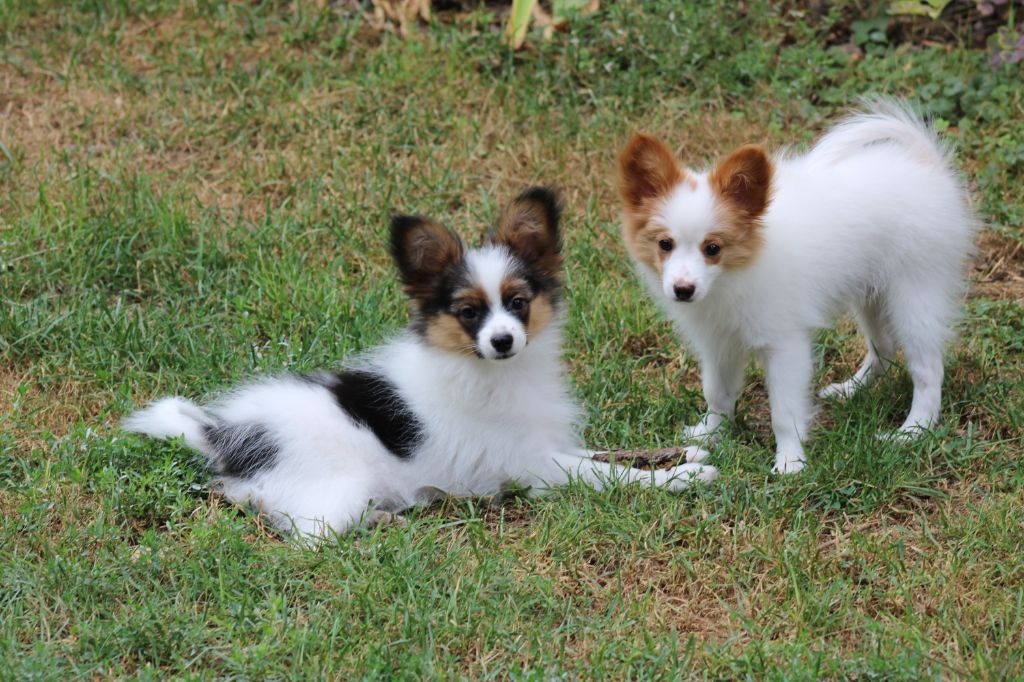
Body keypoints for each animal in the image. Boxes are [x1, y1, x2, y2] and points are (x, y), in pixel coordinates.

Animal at [123, 188, 716, 540]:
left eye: (518, 302)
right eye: (469, 312)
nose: (503, 340)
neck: (495, 372)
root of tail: (222, 434)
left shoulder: (546, 442)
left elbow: (613, 452)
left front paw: (683, 452)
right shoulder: (532, 464)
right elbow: (607, 473)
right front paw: (681, 479)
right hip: (337, 492)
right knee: (306, 535)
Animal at [618, 102, 978, 473]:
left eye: (713, 248)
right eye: (665, 244)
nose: (683, 289)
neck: (735, 275)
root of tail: (925, 162)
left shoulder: (785, 345)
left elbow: (784, 411)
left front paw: (790, 462)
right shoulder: (720, 344)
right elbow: (717, 394)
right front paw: (709, 434)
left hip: (914, 293)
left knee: (927, 368)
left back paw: (912, 431)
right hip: (873, 294)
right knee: (884, 347)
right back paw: (851, 390)